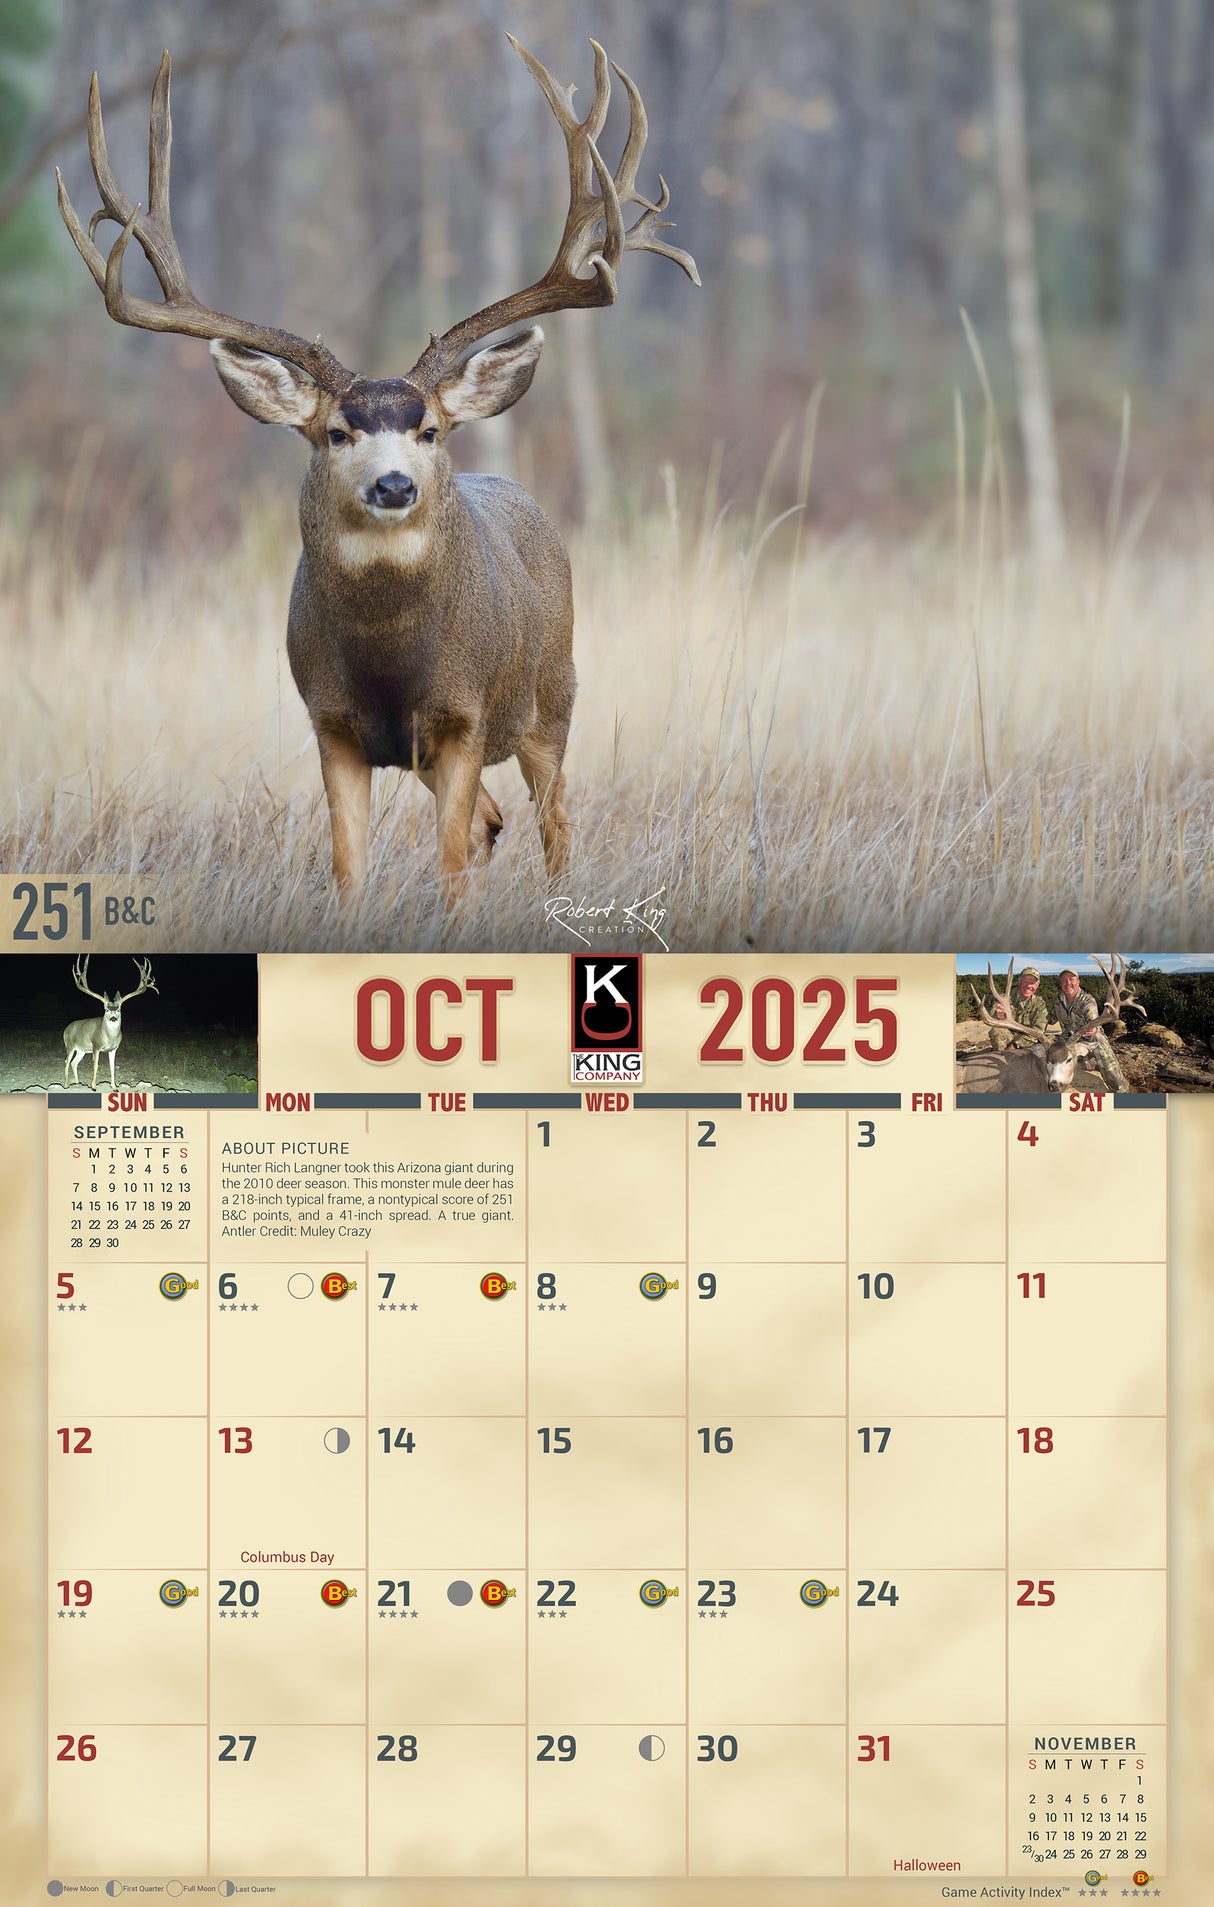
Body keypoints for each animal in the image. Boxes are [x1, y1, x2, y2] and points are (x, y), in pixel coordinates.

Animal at [56, 39, 699, 900]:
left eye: (429, 429)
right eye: (336, 431)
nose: (393, 484)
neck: (391, 664)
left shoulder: (463, 714)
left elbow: (453, 863)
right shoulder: (330, 721)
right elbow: (350, 866)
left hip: (555, 694)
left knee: (555, 818)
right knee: (496, 819)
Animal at [63, 956, 158, 1090]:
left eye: (119, 1009)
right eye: (106, 1010)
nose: (113, 1019)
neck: (109, 1037)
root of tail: (66, 1029)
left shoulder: (114, 1049)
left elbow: (112, 1067)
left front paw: (114, 1086)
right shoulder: (96, 1046)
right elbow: (96, 1065)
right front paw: (93, 1086)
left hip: (82, 1049)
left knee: (73, 1063)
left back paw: (77, 1083)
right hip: (70, 1045)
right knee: (67, 1062)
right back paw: (66, 1085)